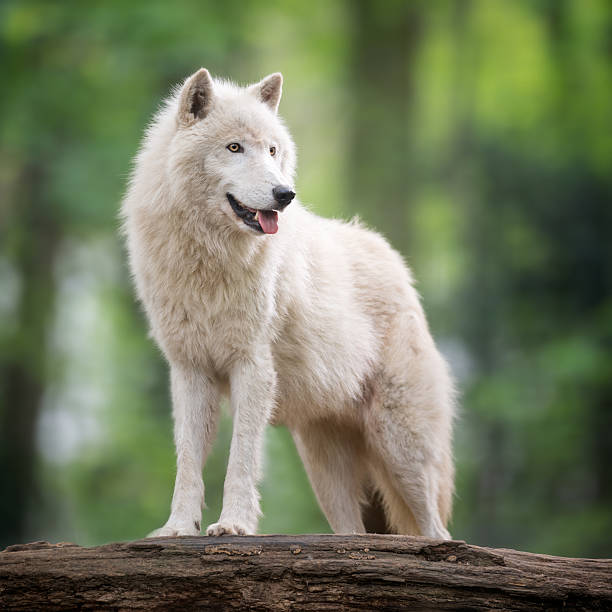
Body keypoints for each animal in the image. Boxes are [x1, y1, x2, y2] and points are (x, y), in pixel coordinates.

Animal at [120, 67, 454, 536]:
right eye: (235, 147)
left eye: (273, 150)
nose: (285, 194)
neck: (209, 259)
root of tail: (394, 260)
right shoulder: (189, 370)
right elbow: (187, 461)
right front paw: (178, 528)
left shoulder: (253, 367)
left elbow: (241, 457)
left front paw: (233, 525)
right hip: (325, 470)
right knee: (352, 532)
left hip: (400, 447)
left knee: (437, 530)